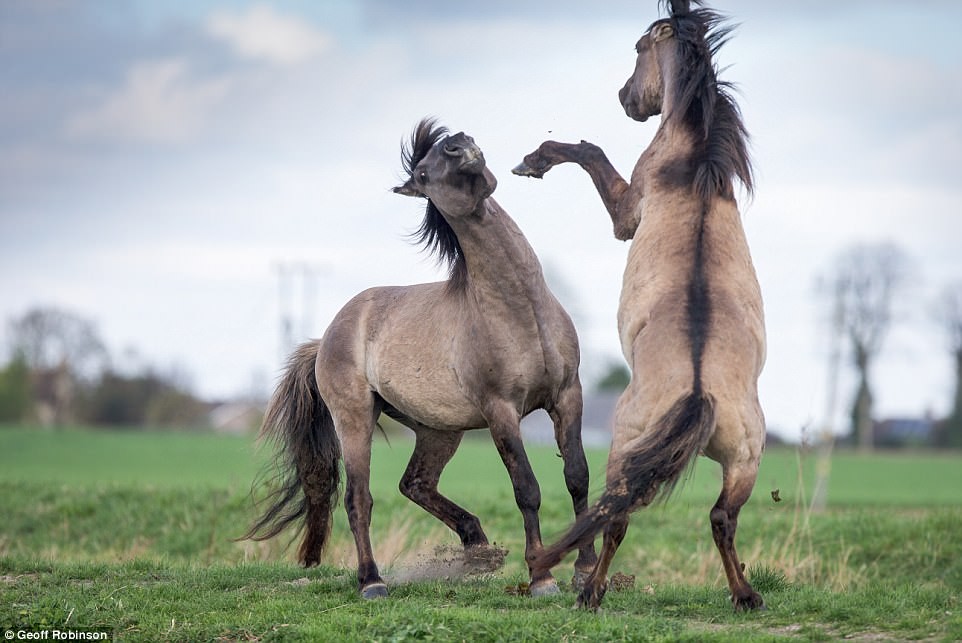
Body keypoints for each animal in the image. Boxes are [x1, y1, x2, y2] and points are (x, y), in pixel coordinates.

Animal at [244, 119, 592, 600]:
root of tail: (329, 336)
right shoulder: (501, 410)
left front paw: (586, 571)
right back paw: (372, 581)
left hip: (438, 430)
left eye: (448, 145)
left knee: (415, 483)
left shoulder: (567, 395)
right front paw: (542, 578)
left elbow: (577, 478)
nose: (460, 145)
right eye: (423, 173)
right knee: (359, 499)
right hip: (355, 419)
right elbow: (527, 489)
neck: (520, 308)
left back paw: (478, 549)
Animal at [512, 0, 768, 612]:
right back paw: (745, 594)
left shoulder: (626, 212)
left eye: (638, 49)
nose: (627, 99)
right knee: (722, 518)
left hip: (625, 448)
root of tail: (699, 392)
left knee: (618, 515)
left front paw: (533, 161)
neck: (695, 161)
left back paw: (591, 590)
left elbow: (588, 151)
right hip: (746, 460)